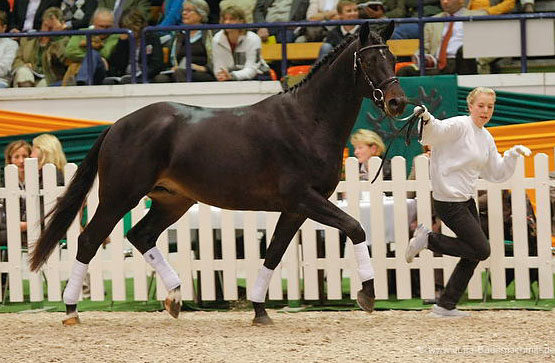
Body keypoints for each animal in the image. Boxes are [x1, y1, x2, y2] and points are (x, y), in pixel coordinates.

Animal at [30, 21, 408, 326]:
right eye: (370, 61)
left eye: (392, 58)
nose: (397, 103)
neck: (307, 121)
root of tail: (118, 125)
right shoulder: (304, 198)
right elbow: (355, 228)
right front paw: (367, 295)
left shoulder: (295, 209)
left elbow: (274, 253)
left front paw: (259, 311)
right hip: (119, 196)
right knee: (89, 240)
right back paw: (71, 310)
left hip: (172, 201)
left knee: (140, 235)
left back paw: (174, 298)